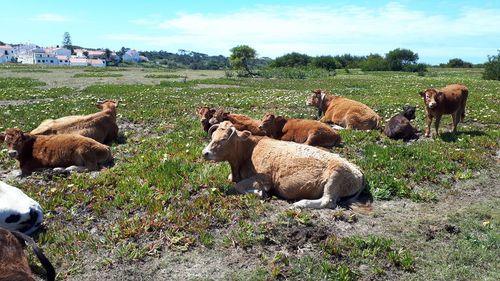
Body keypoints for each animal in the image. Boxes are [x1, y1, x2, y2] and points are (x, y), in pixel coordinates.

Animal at [202, 120, 364, 208]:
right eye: (213, 136)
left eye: (224, 139)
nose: (205, 152)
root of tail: (359, 171)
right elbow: (232, 181)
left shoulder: (264, 179)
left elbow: (238, 186)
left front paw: (259, 193)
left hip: (335, 177)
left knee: (328, 201)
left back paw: (300, 203)